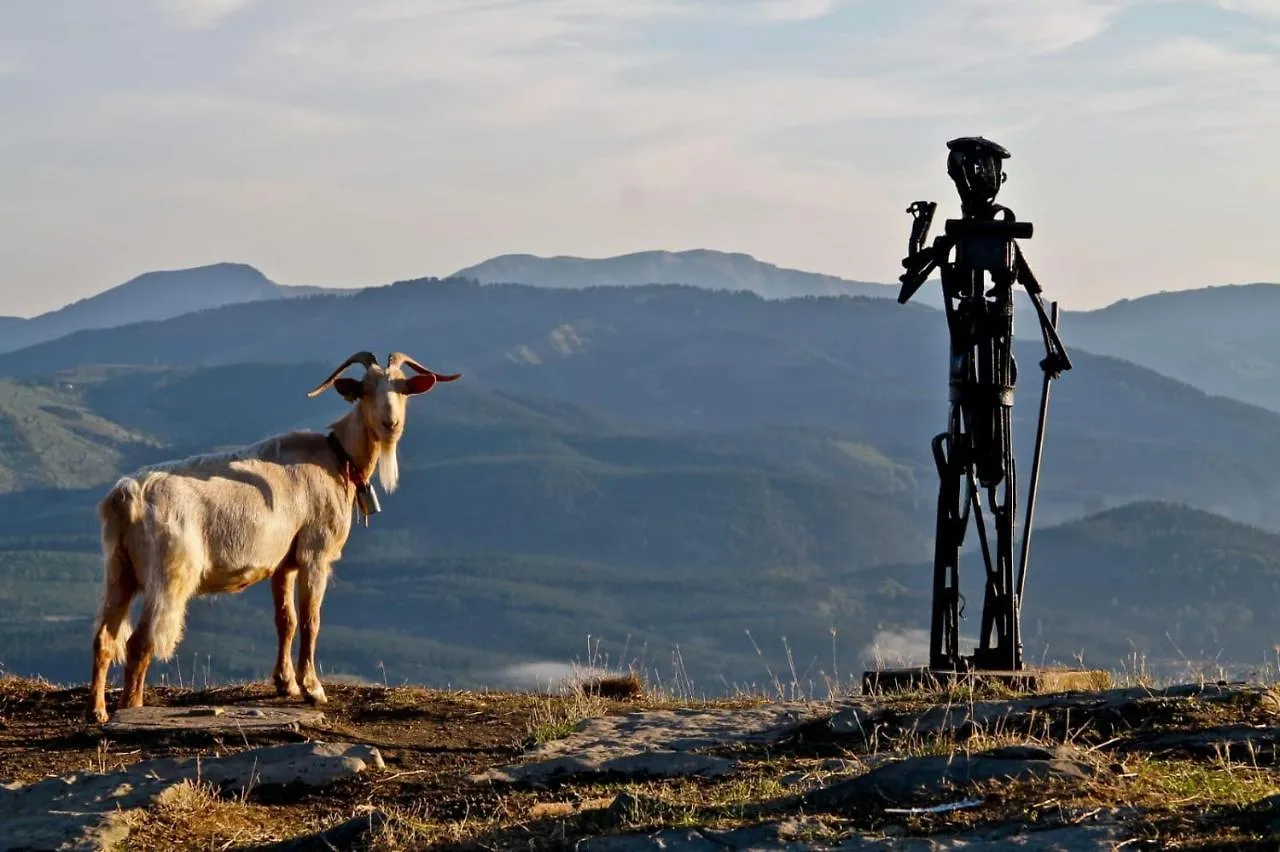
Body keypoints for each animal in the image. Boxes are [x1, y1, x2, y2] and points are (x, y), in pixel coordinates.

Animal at [87, 347, 463, 721]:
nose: (390, 425)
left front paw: (286, 684)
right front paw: (312, 688)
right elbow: (311, 619)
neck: (337, 458)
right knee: (140, 642)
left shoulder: (283, 561)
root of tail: (125, 498)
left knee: (104, 638)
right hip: (168, 573)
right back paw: (131, 708)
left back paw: (98, 712)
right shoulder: (315, 553)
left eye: (402, 389)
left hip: (119, 569)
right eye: (366, 391)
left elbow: (286, 620)